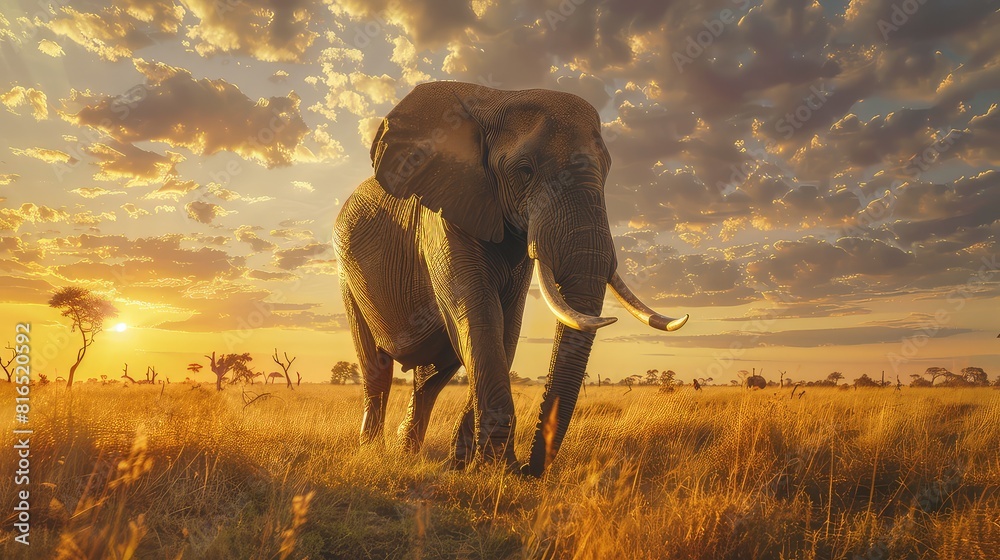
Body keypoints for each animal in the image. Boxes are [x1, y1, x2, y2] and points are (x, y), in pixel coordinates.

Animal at [334, 81, 689, 477]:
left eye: (609, 171)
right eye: (525, 170)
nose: (530, 471)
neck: (495, 98)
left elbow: (505, 329)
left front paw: (468, 468)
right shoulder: (445, 217)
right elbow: (478, 317)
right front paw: (493, 471)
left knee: (432, 375)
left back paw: (406, 452)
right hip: (347, 276)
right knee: (377, 369)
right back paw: (373, 453)